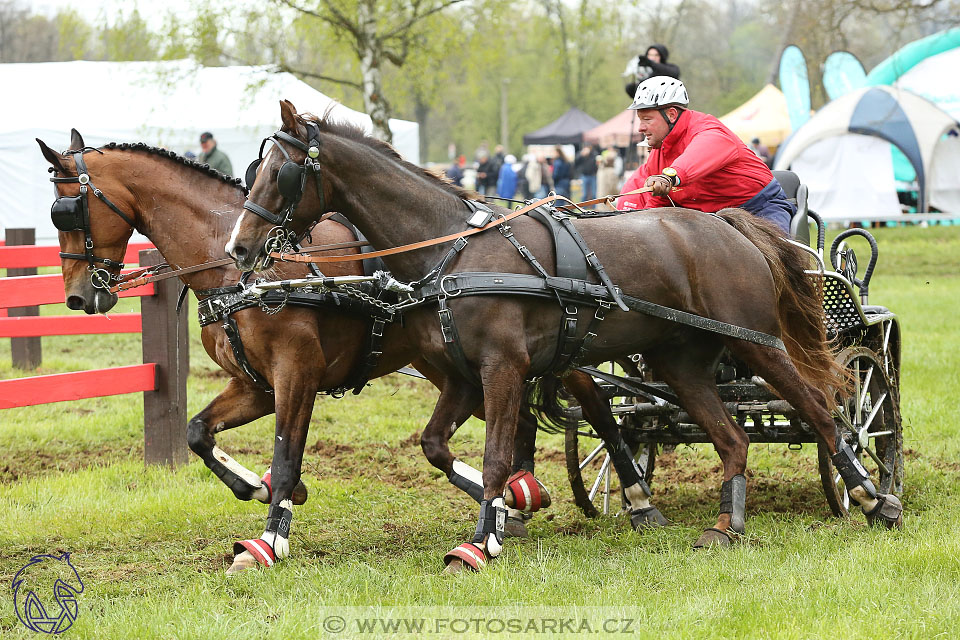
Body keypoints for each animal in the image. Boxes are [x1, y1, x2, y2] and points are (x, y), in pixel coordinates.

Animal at [37, 129, 564, 576]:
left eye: (68, 210)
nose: (78, 297)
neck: (238, 272)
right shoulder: (256, 385)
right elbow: (197, 432)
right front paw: (256, 485)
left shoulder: (296, 373)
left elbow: (288, 454)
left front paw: (269, 539)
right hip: (449, 364)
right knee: (516, 421)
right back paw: (515, 501)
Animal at [229, 102, 904, 572]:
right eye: (254, 170)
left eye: (281, 174)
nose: (238, 246)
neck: (457, 249)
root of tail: (728, 227)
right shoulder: (462, 376)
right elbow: (437, 446)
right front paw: (508, 511)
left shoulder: (502, 369)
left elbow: (497, 456)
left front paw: (481, 543)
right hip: (682, 364)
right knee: (732, 437)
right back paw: (725, 525)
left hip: (757, 343)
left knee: (822, 409)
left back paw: (872, 495)